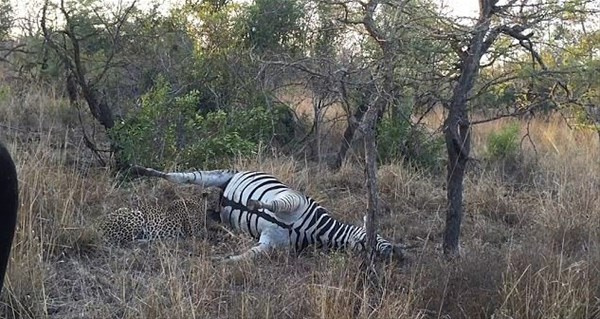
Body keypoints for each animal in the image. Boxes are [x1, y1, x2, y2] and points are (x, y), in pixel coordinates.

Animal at [131, 166, 404, 264]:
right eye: (378, 237)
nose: (398, 252)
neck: (314, 230)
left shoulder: (271, 243)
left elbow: (247, 256)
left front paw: (222, 260)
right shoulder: (293, 199)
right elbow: (273, 204)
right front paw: (254, 203)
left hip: (215, 208)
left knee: (210, 216)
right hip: (216, 175)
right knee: (180, 177)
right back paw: (141, 170)